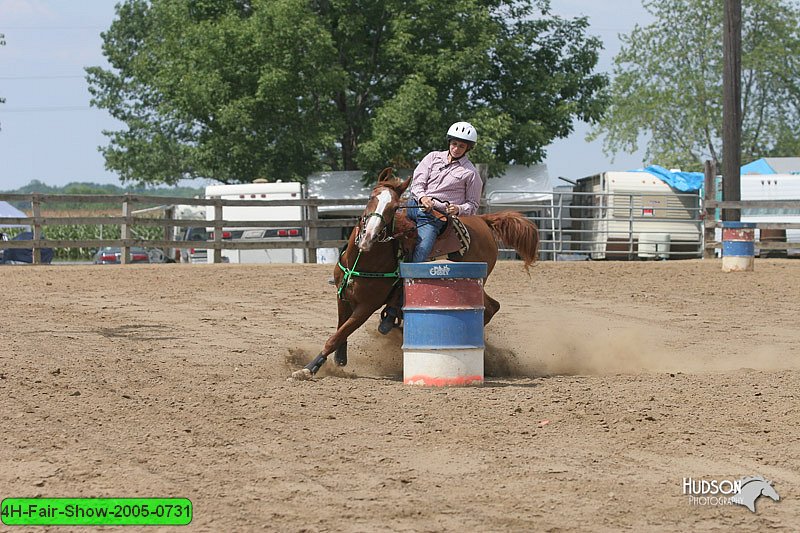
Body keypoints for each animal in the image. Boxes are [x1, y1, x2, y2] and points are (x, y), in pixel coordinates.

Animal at [290, 166, 540, 378]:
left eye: (393, 208)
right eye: (371, 198)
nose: (368, 237)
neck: (363, 260)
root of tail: (484, 220)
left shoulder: (367, 306)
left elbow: (338, 334)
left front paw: (309, 368)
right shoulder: (342, 296)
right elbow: (340, 330)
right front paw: (339, 358)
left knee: (489, 308)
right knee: (492, 306)